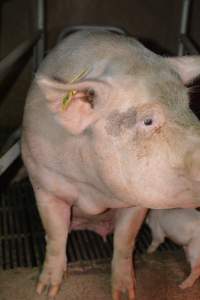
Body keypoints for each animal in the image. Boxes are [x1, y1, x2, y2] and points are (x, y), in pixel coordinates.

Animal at [21, 31, 200, 300]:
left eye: (188, 106)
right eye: (148, 120)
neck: (94, 192)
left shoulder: (136, 200)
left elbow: (125, 241)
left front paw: (124, 293)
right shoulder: (43, 181)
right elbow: (55, 233)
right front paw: (46, 290)